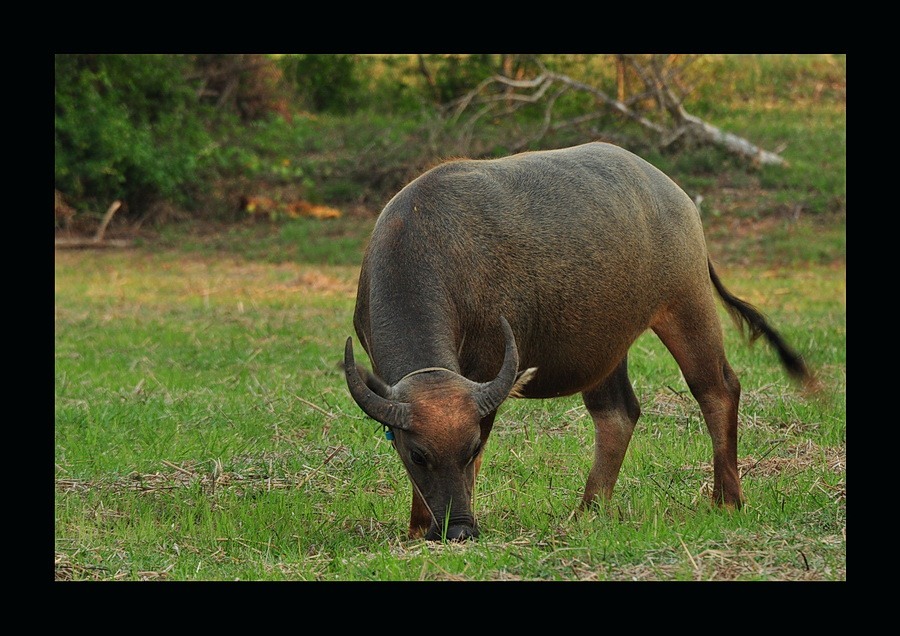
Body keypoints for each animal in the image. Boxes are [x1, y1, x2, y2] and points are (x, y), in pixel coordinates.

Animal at [342, 143, 808, 540]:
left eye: (470, 448)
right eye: (418, 455)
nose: (459, 530)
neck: (422, 241)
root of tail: (675, 196)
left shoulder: (486, 373)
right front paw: (417, 526)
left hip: (687, 303)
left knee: (717, 389)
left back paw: (726, 499)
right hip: (606, 345)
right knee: (618, 413)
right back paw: (589, 509)